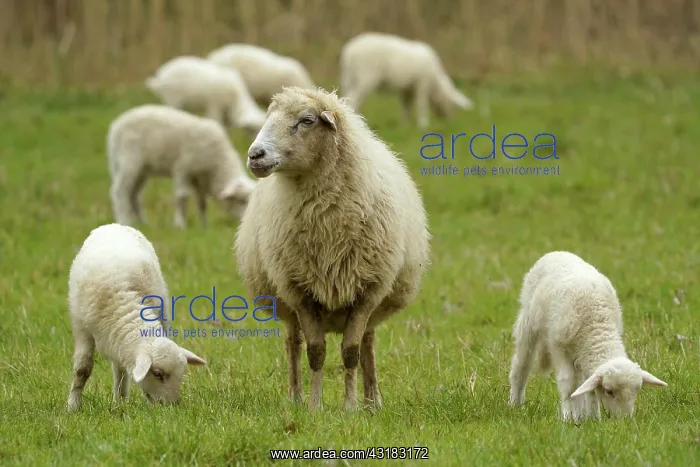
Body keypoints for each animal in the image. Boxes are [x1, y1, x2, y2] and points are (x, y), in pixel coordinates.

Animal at [66, 223, 206, 412]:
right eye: (157, 374)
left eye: (183, 373)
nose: (171, 407)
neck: (123, 300)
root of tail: (115, 225)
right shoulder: (82, 328)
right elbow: (82, 369)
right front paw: (72, 407)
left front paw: (121, 403)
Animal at [107, 104, 257, 229]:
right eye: (241, 201)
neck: (217, 165)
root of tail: (115, 125)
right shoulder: (182, 168)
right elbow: (182, 197)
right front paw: (180, 225)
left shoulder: (199, 179)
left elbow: (202, 202)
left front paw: (204, 226)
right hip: (129, 161)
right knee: (120, 191)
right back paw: (124, 221)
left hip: (142, 170)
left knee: (133, 195)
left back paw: (142, 223)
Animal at [234, 86, 430, 411]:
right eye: (268, 117)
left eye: (306, 120)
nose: (254, 155)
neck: (326, 225)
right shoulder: (300, 293)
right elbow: (315, 352)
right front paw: (315, 406)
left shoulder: (367, 292)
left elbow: (351, 352)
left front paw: (351, 406)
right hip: (285, 300)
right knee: (293, 344)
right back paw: (296, 398)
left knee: (367, 343)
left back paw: (372, 401)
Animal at [339, 32, 474, 129]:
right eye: (453, 106)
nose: (447, 120)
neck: (436, 82)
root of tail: (348, 53)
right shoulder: (422, 84)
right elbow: (421, 104)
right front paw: (423, 124)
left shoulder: (406, 88)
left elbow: (405, 106)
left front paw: (405, 124)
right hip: (366, 76)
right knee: (354, 98)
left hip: (349, 78)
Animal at [508, 251, 668, 422]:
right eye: (609, 391)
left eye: (637, 390)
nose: (624, 420)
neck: (598, 324)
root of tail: (557, 252)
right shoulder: (560, 347)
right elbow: (567, 383)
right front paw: (567, 416)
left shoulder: (586, 352)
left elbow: (588, 388)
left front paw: (592, 418)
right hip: (528, 321)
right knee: (522, 364)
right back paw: (515, 403)